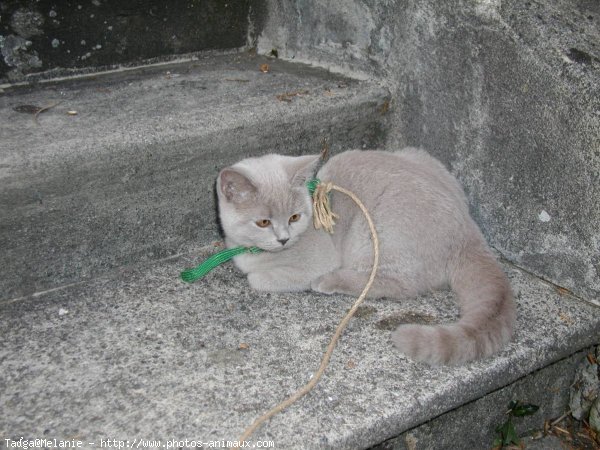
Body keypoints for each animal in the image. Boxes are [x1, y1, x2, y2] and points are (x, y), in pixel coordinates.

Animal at [216, 149, 516, 366]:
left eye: (294, 217)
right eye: (264, 222)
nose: (283, 238)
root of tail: (469, 231)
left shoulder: (317, 258)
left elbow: (258, 279)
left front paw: (258, 273)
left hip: (373, 234)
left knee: (399, 285)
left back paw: (329, 282)